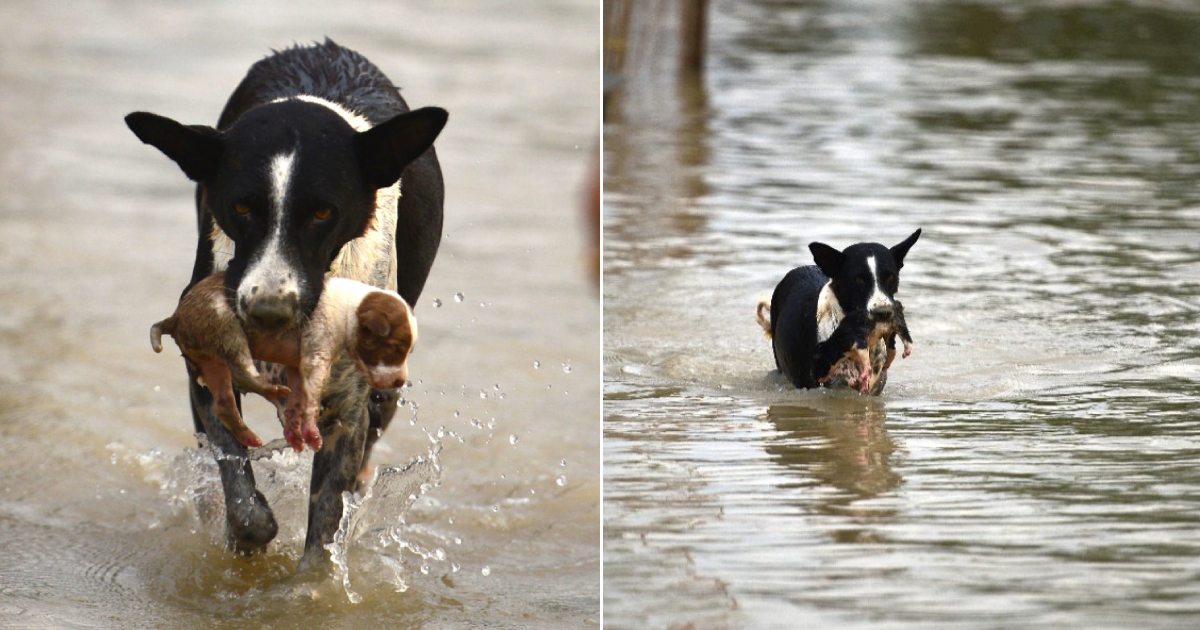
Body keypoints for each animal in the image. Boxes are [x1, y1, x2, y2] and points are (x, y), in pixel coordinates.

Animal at [150, 270, 417, 451]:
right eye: (395, 347)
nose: (400, 382)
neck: (351, 310)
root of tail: (175, 317)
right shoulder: (316, 355)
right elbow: (311, 398)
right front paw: (310, 431)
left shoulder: (297, 366)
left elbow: (299, 398)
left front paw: (294, 431)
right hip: (226, 325)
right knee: (242, 368)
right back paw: (271, 390)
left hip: (210, 360)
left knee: (224, 403)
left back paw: (249, 434)